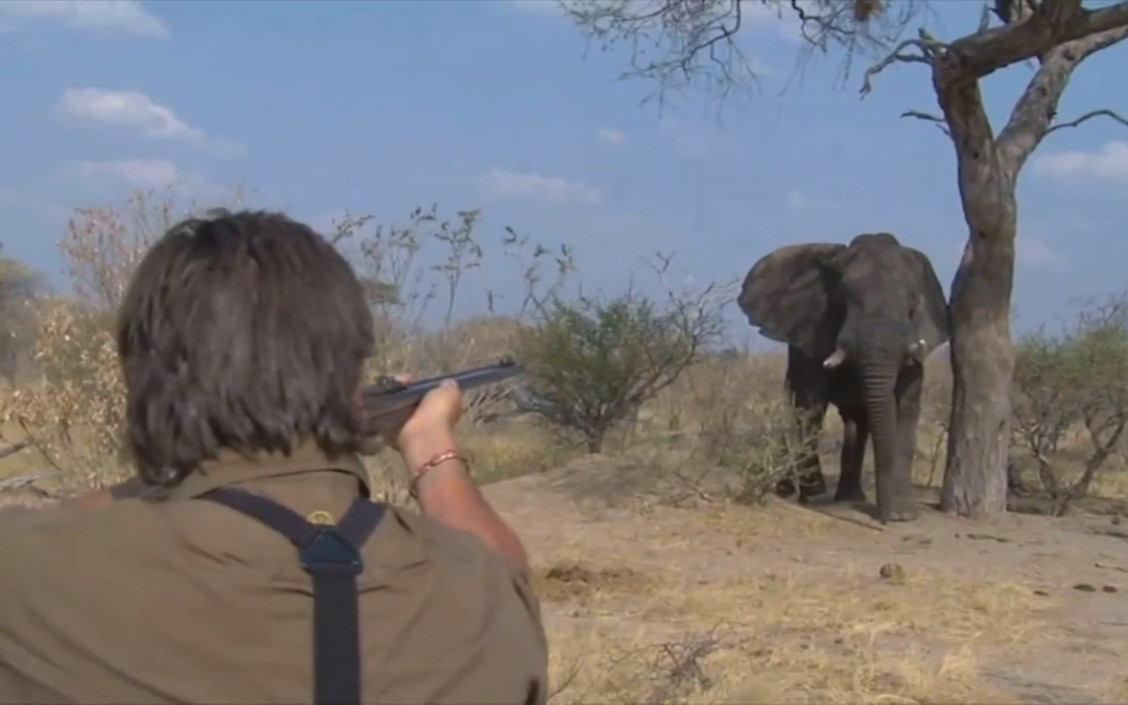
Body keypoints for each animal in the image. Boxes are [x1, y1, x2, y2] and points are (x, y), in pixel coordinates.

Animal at [735, 232, 947, 523]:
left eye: (913, 304)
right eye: (843, 300)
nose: (881, 520)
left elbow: (906, 407)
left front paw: (902, 515)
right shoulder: (813, 332)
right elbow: (811, 403)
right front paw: (810, 492)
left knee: (856, 421)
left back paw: (849, 497)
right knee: (797, 405)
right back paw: (792, 490)